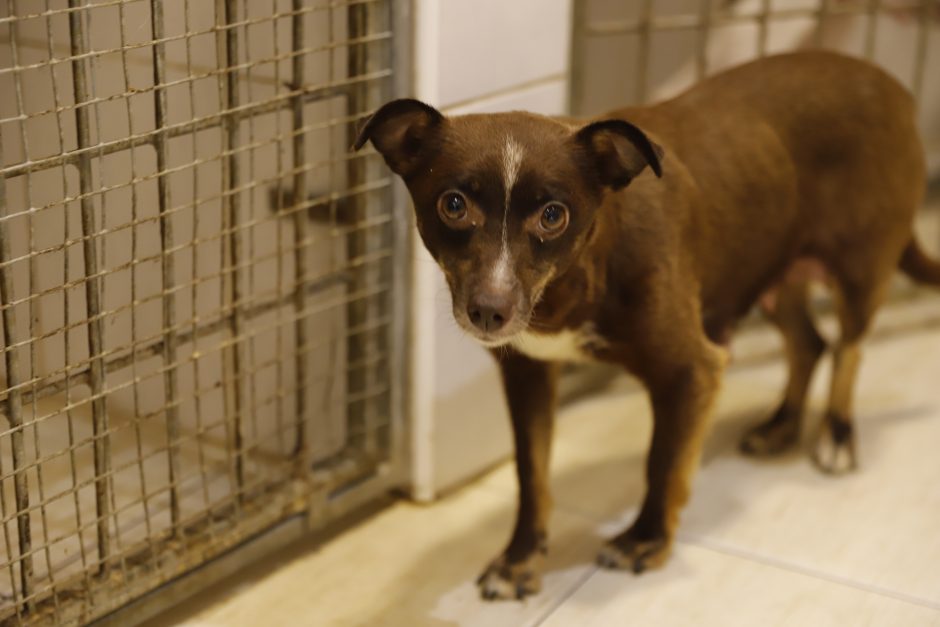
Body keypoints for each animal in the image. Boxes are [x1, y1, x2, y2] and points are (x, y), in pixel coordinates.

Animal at [354, 51, 940, 600]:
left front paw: (645, 540)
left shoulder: (691, 370)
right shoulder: (528, 373)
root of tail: (891, 84)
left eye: (553, 215)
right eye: (453, 205)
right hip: (767, 265)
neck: (583, 273)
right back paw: (780, 425)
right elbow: (531, 473)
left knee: (849, 350)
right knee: (810, 345)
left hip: (860, 272)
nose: (489, 312)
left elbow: (663, 463)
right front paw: (519, 560)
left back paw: (837, 435)